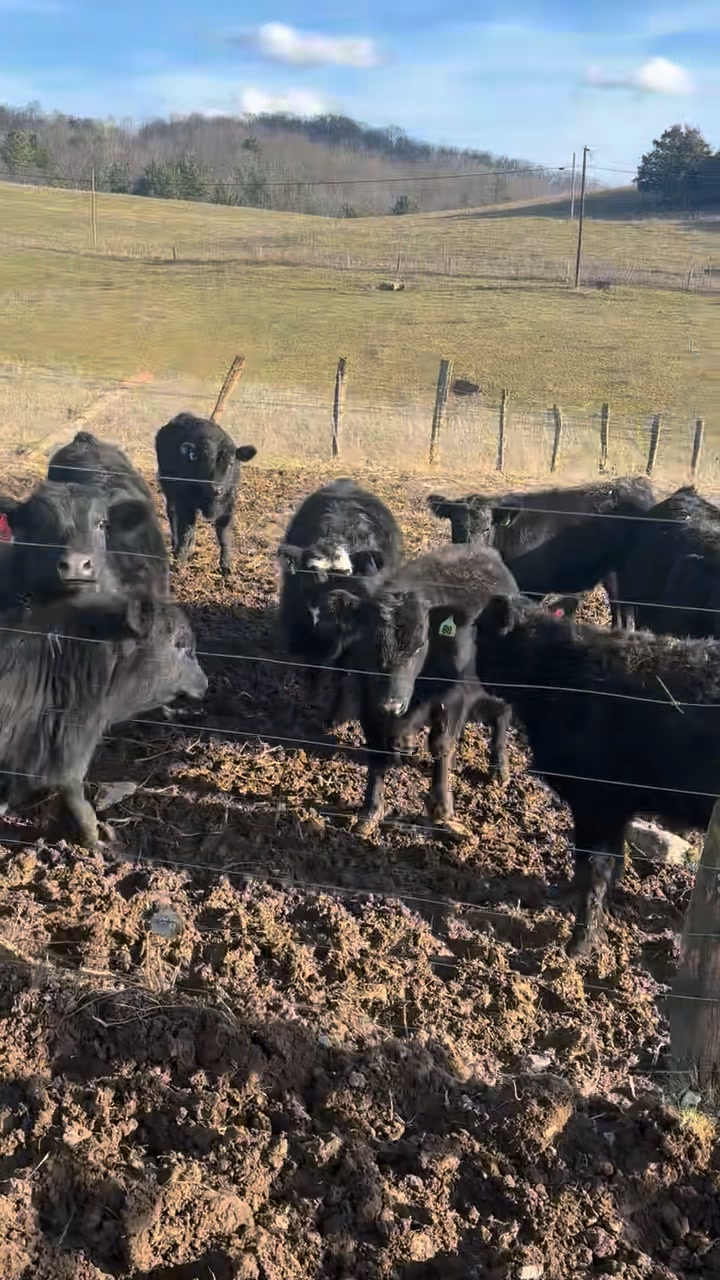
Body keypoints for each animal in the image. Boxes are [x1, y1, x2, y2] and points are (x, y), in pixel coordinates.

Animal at [154, 413, 257, 577]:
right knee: (173, 516)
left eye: (231, 464)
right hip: (169, 489)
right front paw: (180, 562)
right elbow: (186, 530)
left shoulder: (229, 506)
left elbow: (224, 535)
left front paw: (226, 565)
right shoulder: (185, 504)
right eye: (204, 463)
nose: (217, 489)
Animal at [278, 479, 403, 725]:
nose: (325, 629)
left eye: (346, 577)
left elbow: (342, 677)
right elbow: (312, 670)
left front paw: (333, 716)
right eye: (308, 576)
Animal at [326, 543, 517, 836]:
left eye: (420, 645)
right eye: (371, 643)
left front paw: (441, 806)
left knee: (502, 715)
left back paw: (500, 767)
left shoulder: (454, 696)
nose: (392, 704)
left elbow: (442, 744)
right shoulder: (368, 700)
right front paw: (370, 810)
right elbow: (377, 753)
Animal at [473, 592, 720, 954]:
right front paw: (558, 893)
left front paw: (575, 948)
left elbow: (597, 866)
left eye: (477, 630)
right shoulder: (606, 807)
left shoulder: (600, 799)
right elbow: (593, 857)